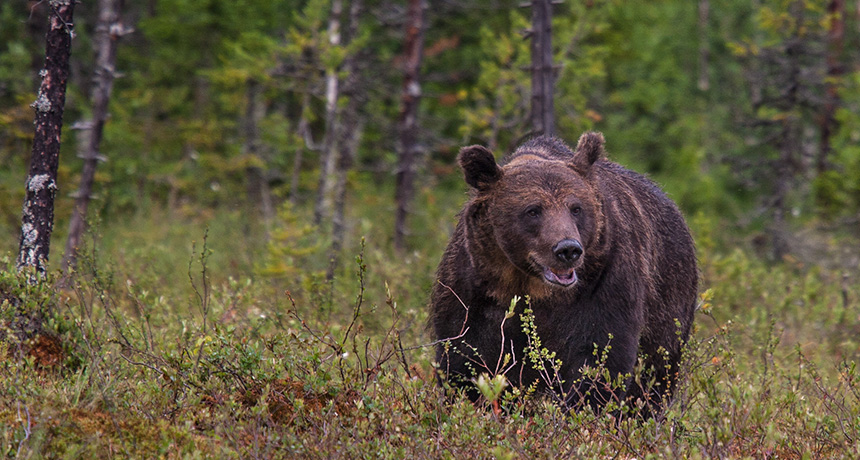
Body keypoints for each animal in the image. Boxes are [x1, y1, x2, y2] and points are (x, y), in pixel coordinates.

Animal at [430, 132, 698, 414]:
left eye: (576, 208)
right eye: (533, 210)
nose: (568, 249)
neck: (529, 285)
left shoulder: (604, 284)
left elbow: (600, 360)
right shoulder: (474, 289)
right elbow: (463, 358)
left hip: (668, 307)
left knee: (654, 378)